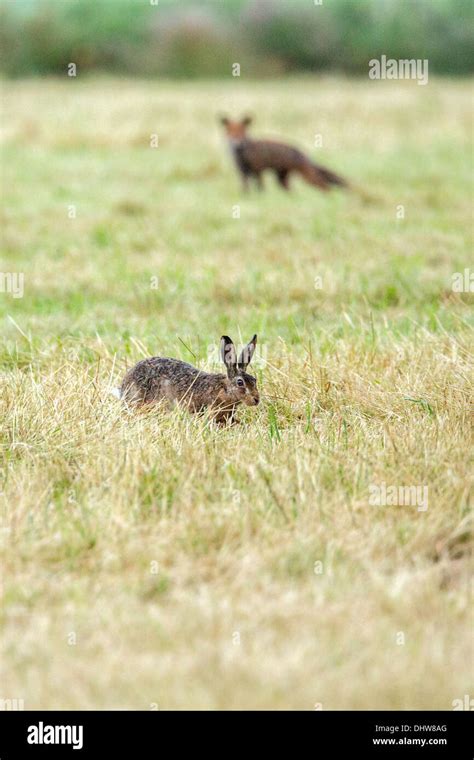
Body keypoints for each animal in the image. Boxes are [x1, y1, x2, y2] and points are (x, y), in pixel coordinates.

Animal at [219, 116, 348, 194]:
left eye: (240, 133)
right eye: (230, 133)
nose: (236, 144)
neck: (242, 155)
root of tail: (302, 152)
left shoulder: (258, 171)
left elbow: (261, 190)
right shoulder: (243, 173)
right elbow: (245, 190)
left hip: (306, 177)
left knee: (326, 187)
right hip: (281, 179)